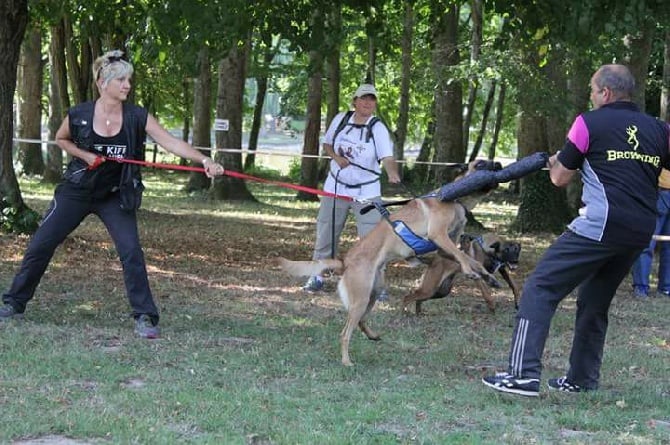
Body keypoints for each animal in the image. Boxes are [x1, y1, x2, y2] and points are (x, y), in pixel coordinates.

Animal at [278, 160, 504, 364]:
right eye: (480, 164)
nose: (499, 165)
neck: (456, 200)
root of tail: (345, 262)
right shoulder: (439, 236)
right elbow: (463, 258)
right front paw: (471, 271)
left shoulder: (445, 246)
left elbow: (471, 260)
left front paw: (489, 277)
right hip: (361, 297)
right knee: (345, 333)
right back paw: (347, 361)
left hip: (373, 292)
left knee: (361, 321)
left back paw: (372, 335)